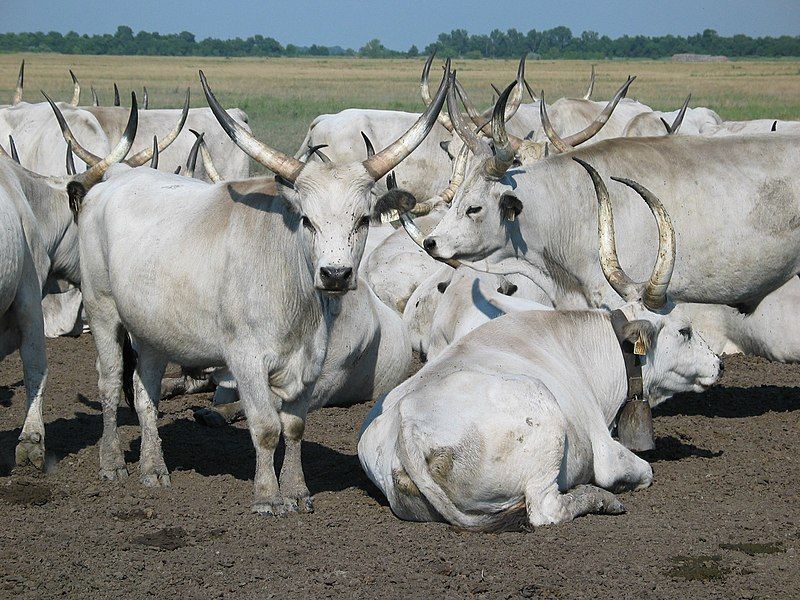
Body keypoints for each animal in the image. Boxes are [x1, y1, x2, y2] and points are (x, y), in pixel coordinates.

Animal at [72, 67, 450, 516]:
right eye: (307, 220)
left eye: (361, 220)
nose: (335, 274)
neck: (294, 293)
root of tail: (109, 184)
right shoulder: (245, 357)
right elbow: (267, 426)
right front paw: (268, 496)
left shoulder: (311, 360)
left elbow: (295, 425)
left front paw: (297, 490)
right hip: (103, 310)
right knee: (111, 381)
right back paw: (112, 461)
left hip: (152, 330)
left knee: (145, 394)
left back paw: (153, 468)